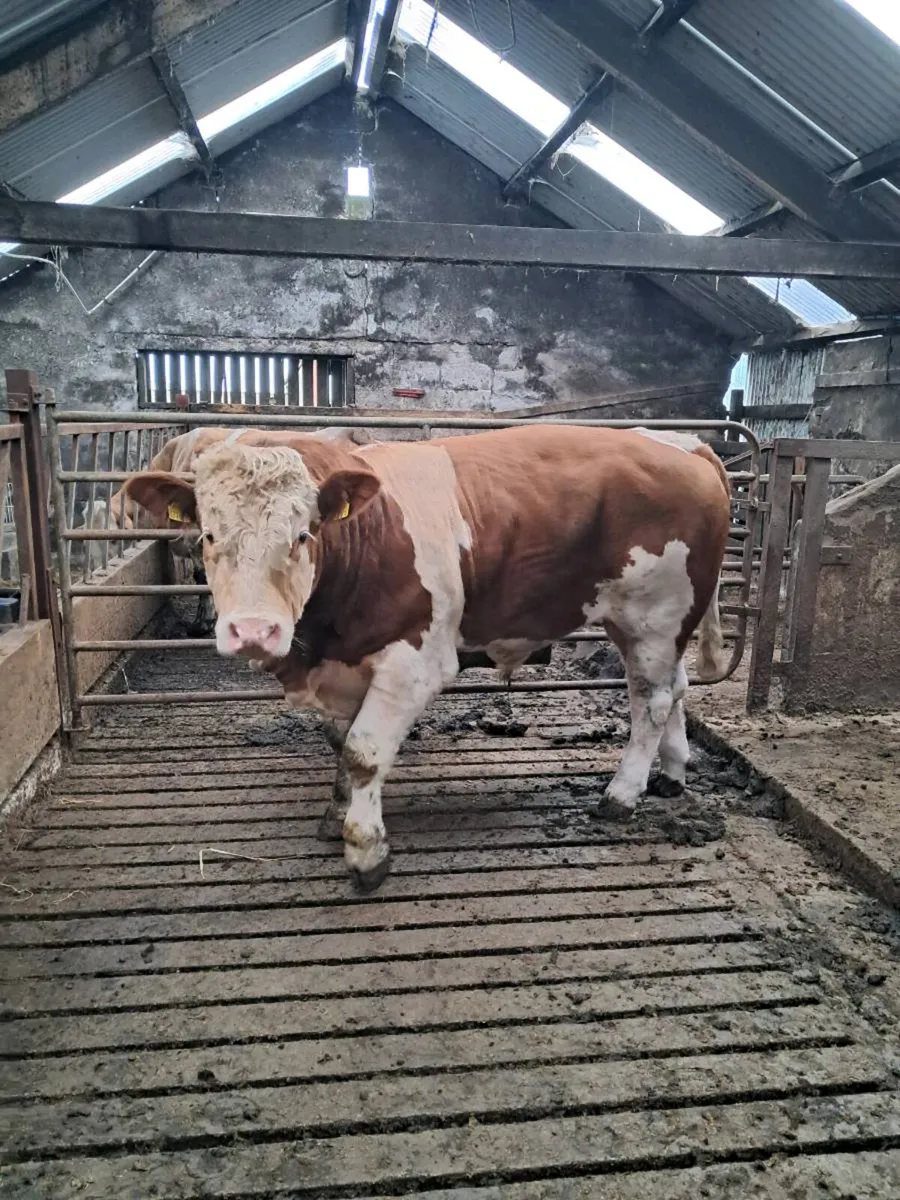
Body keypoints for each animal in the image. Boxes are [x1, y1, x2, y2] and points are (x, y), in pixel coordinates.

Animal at [123, 423, 731, 892]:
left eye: (303, 534)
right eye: (208, 535)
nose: (253, 630)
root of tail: (680, 443)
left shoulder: (412, 664)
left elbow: (364, 752)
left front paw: (366, 851)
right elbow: (341, 744)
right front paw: (337, 812)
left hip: (654, 617)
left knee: (650, 702)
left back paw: (621, 795)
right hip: (649, 627)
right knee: (674, 689)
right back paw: (671, 774)